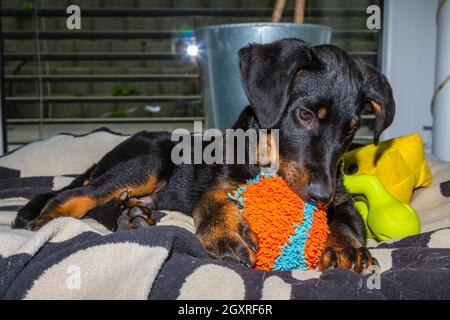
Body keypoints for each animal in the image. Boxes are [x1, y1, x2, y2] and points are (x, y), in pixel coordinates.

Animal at [13, 38, 394, 272]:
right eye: (305, 115)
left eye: (351, 130)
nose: (320, 197)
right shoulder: (219, 179)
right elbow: (209, 197)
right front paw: (224, 231)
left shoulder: (344, 199)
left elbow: (348, 221)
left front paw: (346, 249)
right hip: (151, 160)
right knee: (73, 195)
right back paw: (42, 224)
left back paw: (130, 217)